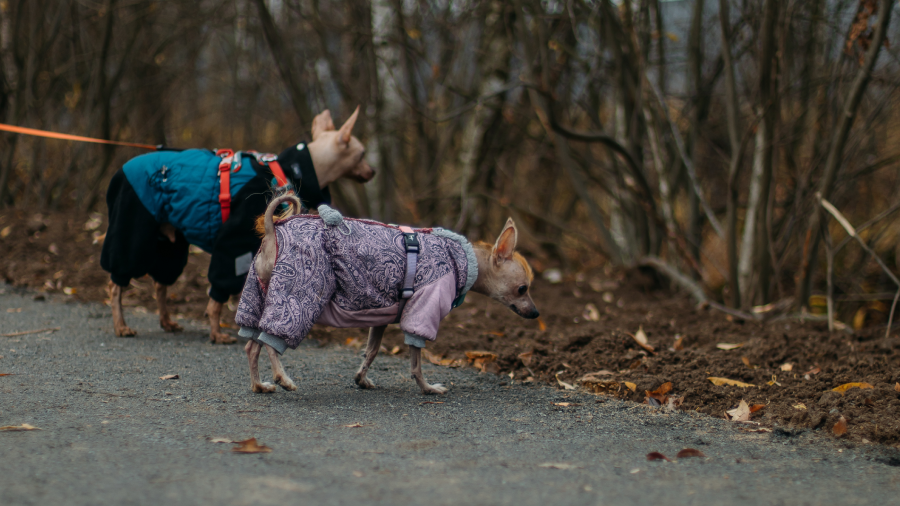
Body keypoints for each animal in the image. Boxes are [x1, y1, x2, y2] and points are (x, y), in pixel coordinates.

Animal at [102, 108, 372, 342]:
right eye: (362, 154)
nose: (373, 170)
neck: (289, 170)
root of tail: (119, 171)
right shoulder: (234, 245)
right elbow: (218, 295)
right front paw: (216, 332)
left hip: (171, 245)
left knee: (160, 283)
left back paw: (166, 321)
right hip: (133, 230)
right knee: (116, 282)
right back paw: (120, 325)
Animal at [236, 194, 536, 396]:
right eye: (523, 289)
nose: (536, 312)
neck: (463, 258)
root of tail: (273, 230)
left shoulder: (380, 315)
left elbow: (371, 352)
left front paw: (361, 379)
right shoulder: (421, 310)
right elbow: (416, 361)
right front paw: (427, 387)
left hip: (259, 297)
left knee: (252, 345)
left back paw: (259, 385)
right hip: (295, 294)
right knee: (272, 340)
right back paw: (281, 378)